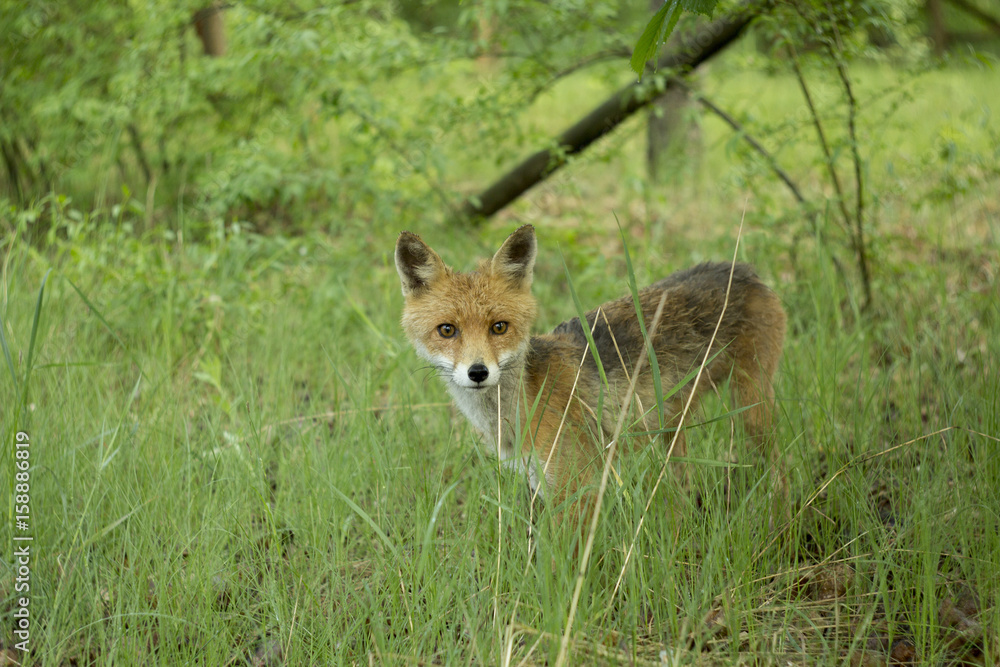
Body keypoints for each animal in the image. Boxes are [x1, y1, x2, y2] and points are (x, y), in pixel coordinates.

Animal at [394, 227, 784, 516]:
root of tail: (740, 267)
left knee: (778, 465)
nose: (478, 372)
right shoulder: (538, 482)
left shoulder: (576, 485)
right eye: (447, 330)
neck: (522, 407)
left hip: (753, 407)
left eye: (499, 327)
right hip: (672, 428)